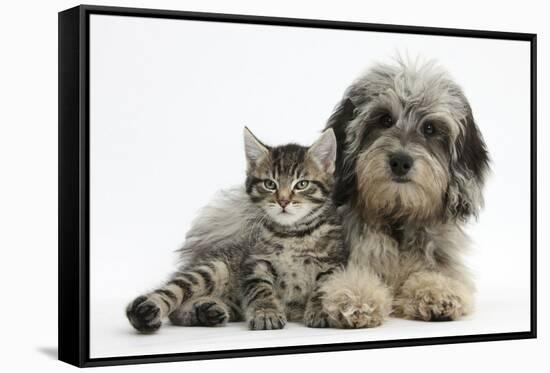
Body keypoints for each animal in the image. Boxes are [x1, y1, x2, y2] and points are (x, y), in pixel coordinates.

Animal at [126, 128, 348, 332]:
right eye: (270, 184)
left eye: (302, 184)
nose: (283, 201)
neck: (292, 233)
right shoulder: (255, 262)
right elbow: (260, 288)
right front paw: (266, 312)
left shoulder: (333, 264)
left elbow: (325, 287)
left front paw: (320, 310)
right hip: (212, 268)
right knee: (172, 294)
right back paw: (145, 312)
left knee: (180, 313)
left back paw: (205, 311)